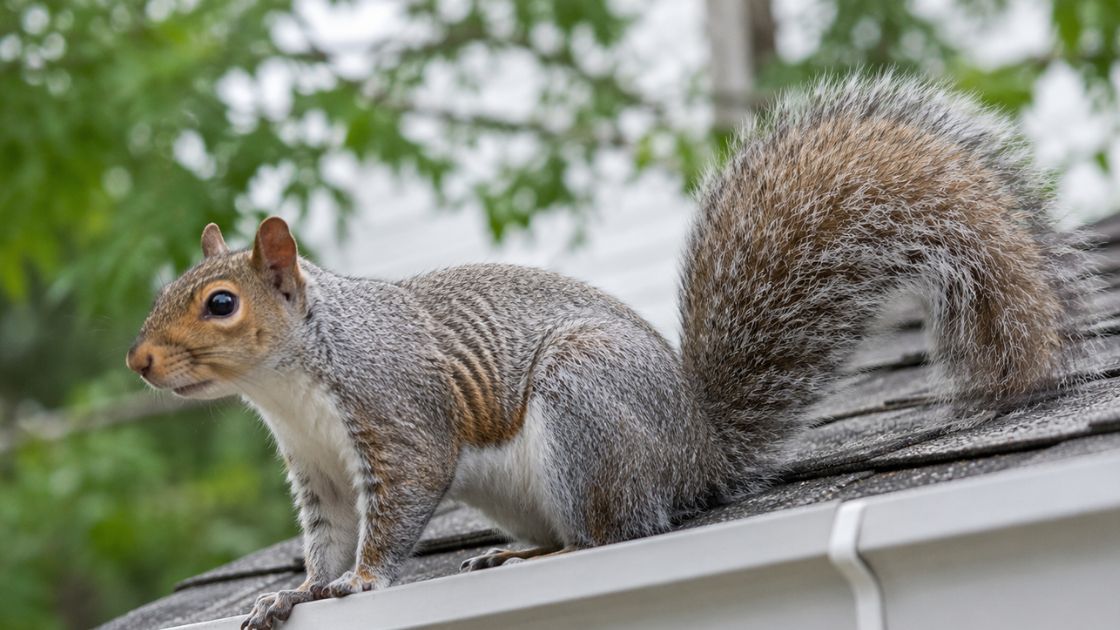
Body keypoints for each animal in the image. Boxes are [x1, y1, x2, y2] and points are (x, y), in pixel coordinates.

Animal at [127, 75, 1089, 629]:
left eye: (220, 303)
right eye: (168, 284)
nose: (139, 363)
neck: (291, 385)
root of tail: (697, 452)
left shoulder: (395, 417)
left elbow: (396, 511)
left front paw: (362, 584)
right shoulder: (318, 470)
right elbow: (321, 543)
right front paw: (289, 593)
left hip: (583, 409)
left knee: (612, 532)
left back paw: (538, 556)